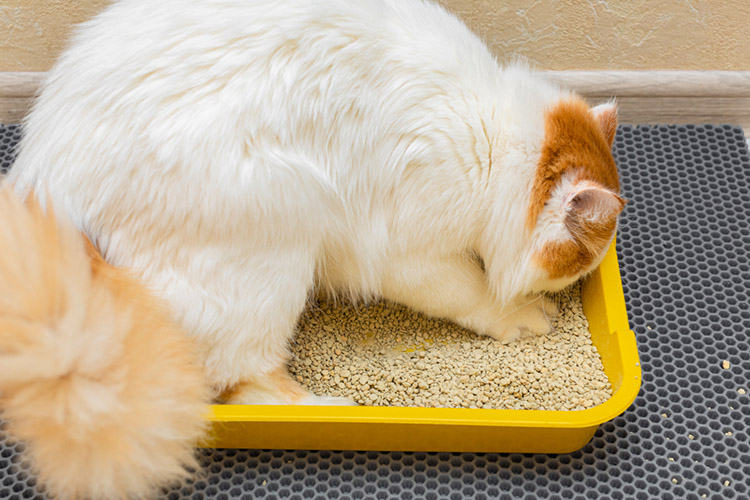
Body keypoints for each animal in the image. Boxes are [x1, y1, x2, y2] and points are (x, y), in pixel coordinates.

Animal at [1, 0, 624, 498]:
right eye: (577, 267)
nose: (576, 285)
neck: (489, 134)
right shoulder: (406, 253)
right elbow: (473, 294)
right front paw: (522, 314)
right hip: (278, 239)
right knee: (240, 382)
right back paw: (334, 409)